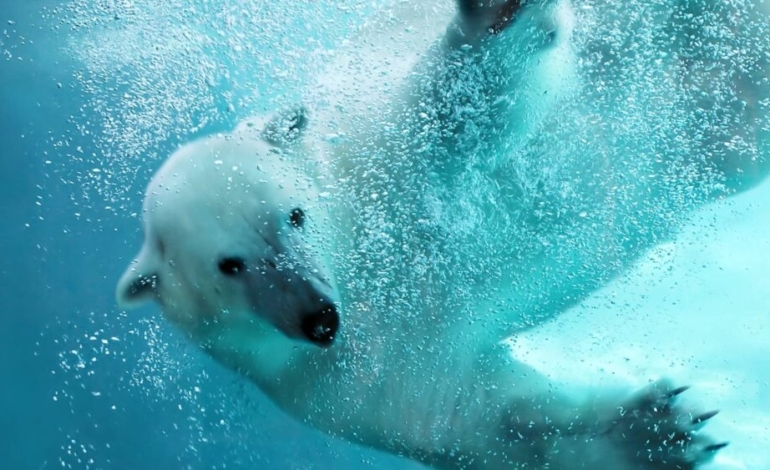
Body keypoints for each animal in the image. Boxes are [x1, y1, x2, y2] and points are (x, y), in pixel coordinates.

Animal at [115, 0, 768, 468]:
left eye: (293, 215)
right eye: (229, 266)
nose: (319, 318)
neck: (359, 262)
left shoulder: (382, 155)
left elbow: (467, 105)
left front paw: (494, 10)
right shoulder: (337, 381)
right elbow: (476, 416)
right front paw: (658, 430)